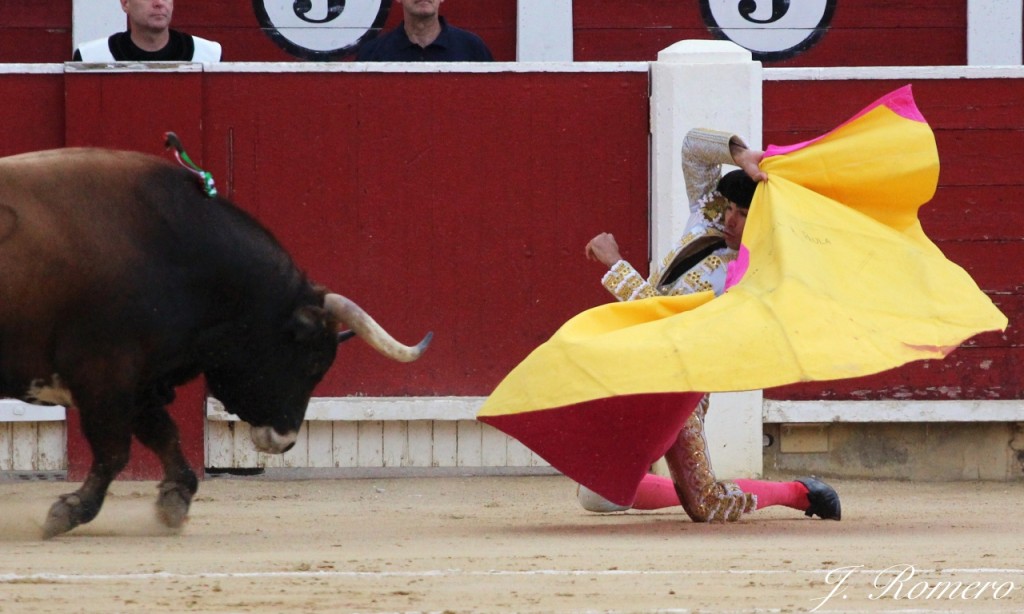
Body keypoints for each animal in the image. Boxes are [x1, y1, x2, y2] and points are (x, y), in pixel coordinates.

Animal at [0, 148, 432, 536]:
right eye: (312, 364)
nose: (286, 440)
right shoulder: (106, 375)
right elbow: (114, 450)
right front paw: (69, 511)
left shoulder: (140, 382)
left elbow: (163, 434)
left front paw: (175, 500)